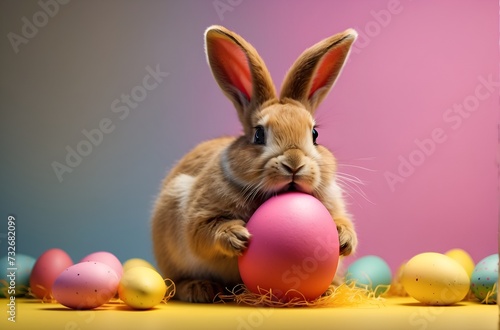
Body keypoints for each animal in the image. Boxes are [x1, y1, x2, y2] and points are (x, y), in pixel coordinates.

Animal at [152, 25, 360, 304]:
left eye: (315, 134)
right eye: (259, 134)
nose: (294, 163)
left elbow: (342, 221)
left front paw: (343, 239)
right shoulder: (199, 216)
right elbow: (203, 233)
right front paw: (237, 236)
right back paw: (199, 288)